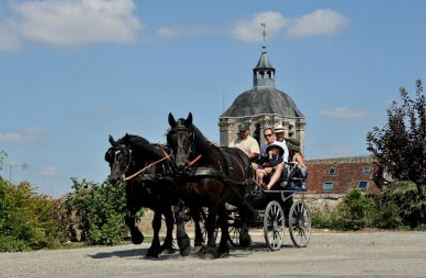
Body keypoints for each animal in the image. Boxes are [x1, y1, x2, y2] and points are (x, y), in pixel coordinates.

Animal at [166, 112, 253, 258]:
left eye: (189, 137)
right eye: (170, 137)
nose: (180, 165)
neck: (199, 167)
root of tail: (244, 157)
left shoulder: (212, 199)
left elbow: (211, 221)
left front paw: (211, 249)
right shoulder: (188, 198)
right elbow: (184, 217)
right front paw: (186, 244)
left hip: (239, 195)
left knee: (244, 211)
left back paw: (244, 238)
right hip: (224, 199)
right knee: (224, 220)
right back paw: (223, 248)